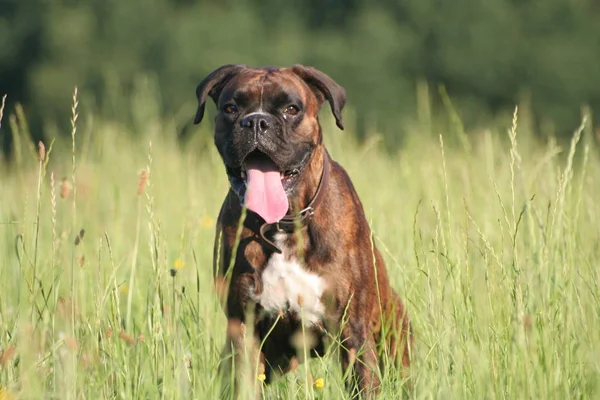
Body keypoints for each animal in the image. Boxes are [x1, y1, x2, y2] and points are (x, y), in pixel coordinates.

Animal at [195, 65, 410, 396]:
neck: (284, 224)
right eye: (231, 108)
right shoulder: (243, 329)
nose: (256, 121)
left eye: (291, 109)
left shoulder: (353, 332)